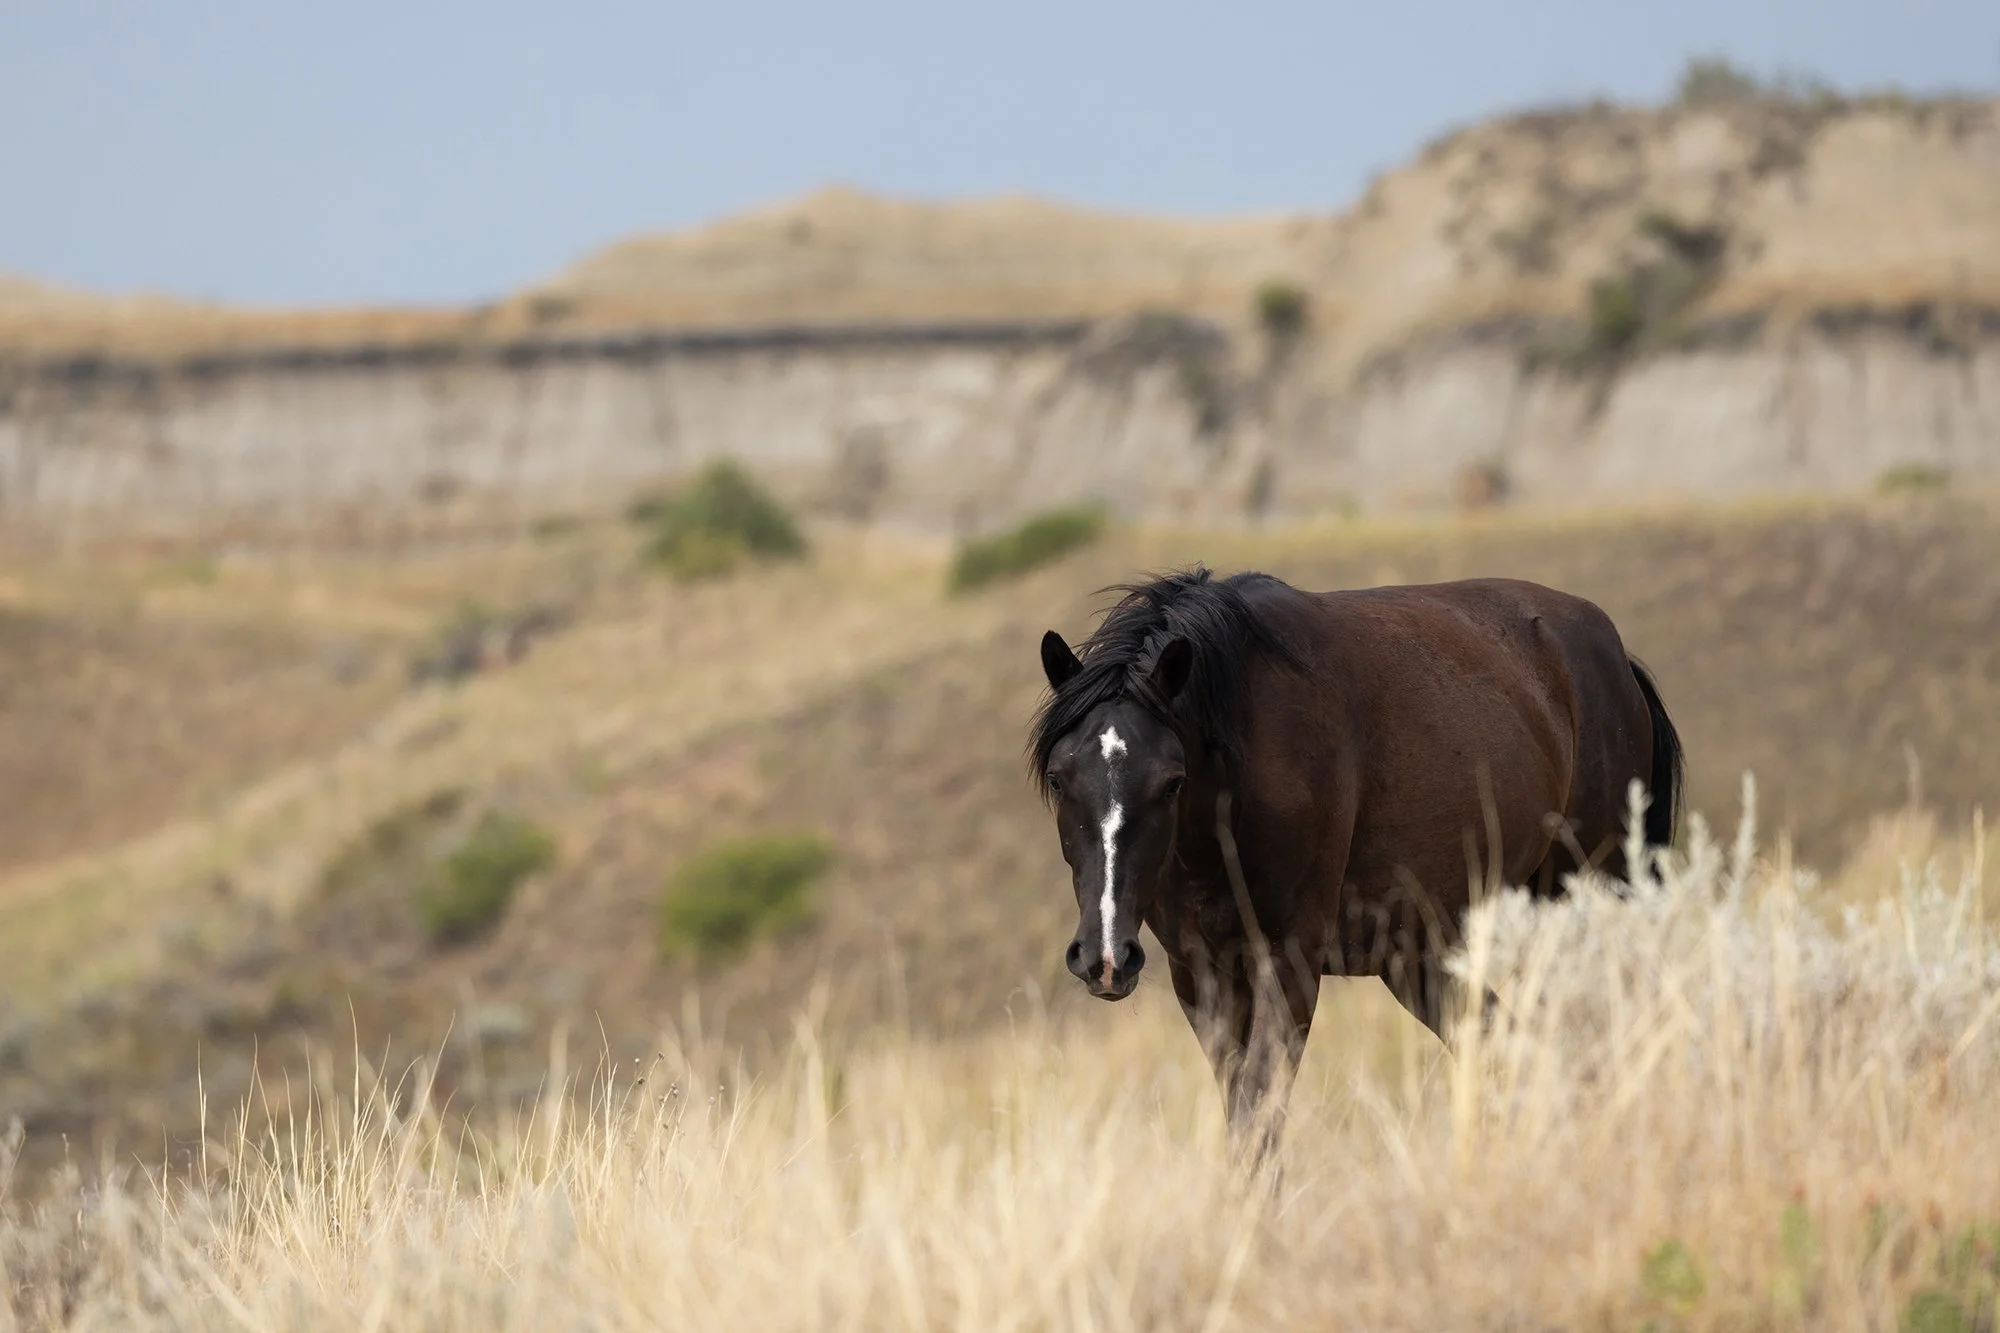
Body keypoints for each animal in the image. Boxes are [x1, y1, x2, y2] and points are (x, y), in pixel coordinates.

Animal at [1030, 565, 1683, 1154]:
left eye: (1170, 783)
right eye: (1060, 779)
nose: (1105, 958)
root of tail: (1612, 653)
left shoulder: (1289, 963)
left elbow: (1260, 1113)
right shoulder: (1201, 975)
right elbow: (1242, 1116)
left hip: (1597, 895)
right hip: (1419, 955)